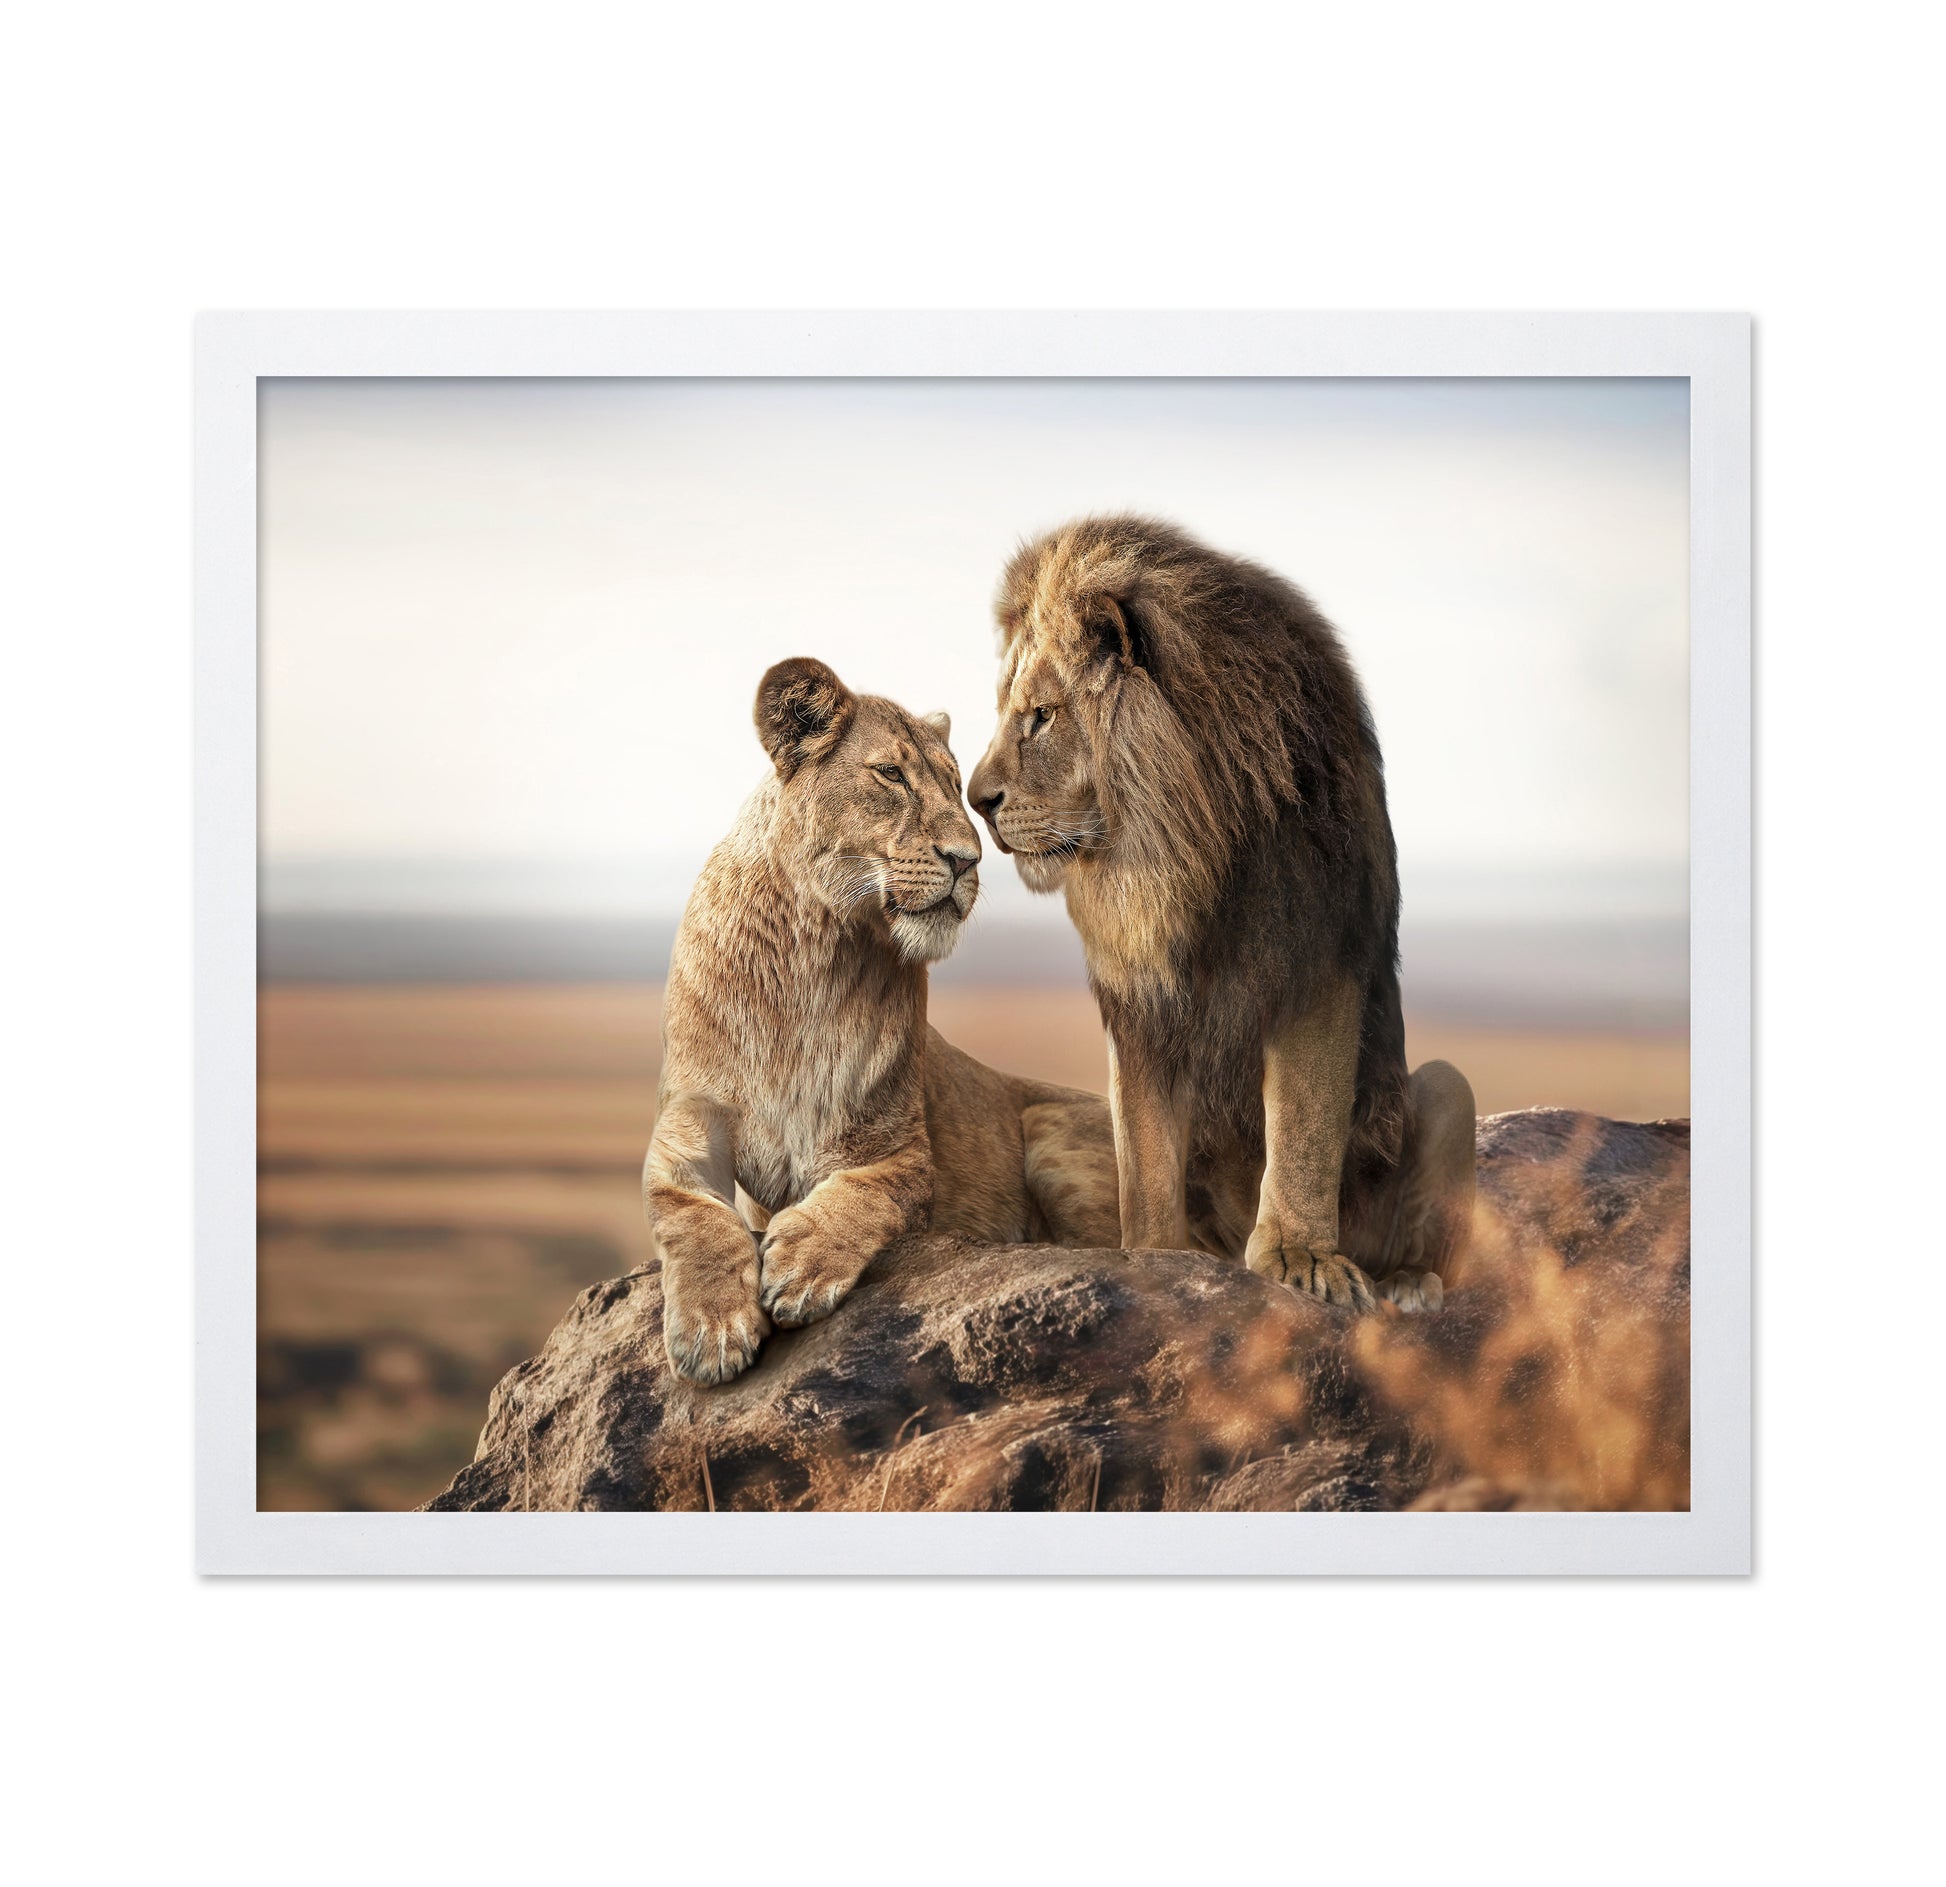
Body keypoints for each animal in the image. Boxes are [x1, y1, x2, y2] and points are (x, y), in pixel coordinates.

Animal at [643, 656, 1120, 1385]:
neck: (809, 952)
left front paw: (802, 1264)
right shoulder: (687, 1120)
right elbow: (690, 1213)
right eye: (891, 774)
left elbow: (866, 1193)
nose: (968, 860)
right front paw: (712, 1328)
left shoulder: (897, 1144)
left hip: (1050, 1131)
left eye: (955, 784)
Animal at [966, 515, 1477, 1314]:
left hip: (1450, 1086)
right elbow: (1143, 1154)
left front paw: (1301, 1257)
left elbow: (1303, 1128)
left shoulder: (1317, 962)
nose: (974, 798)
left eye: (1041, 717)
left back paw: (1405, 1284)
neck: (1183, 851)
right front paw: (1151, 1257)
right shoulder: (1139, 1004)